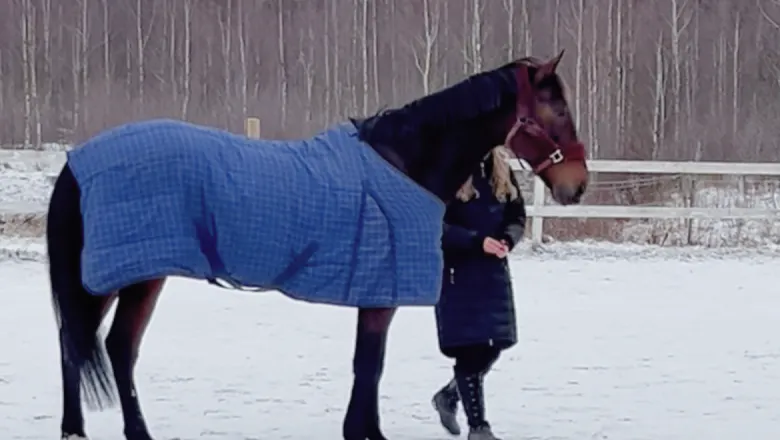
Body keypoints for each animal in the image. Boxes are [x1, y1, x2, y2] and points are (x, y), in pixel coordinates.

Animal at [47, 51, 587, 440]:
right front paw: (365, 432)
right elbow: (369, 364)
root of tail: (79, 161)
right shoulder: (379, 292)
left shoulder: (375, 289)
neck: (402, 162)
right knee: (113, 347)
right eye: (557, 108)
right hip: (130, 274)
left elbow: (368, 365)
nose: (578, 186)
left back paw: (76, 430)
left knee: (79, 342)